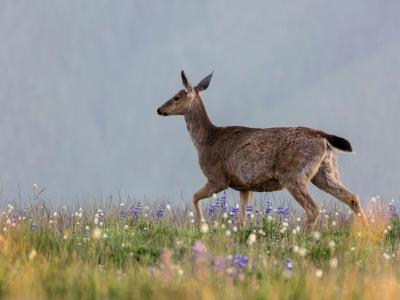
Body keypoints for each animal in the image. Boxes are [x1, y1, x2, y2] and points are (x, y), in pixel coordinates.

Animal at [155, 70, 366, 232]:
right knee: (352, 197)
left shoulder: (218, 177)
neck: (206, 140)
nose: (158, 109)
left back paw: (304, 237)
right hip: (325, 170)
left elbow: (195, 197)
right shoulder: (244, 186)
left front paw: (203, 225)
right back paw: (365, 230)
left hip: (293, 174)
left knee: (314, 207)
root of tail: (323, 136)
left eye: (176, 97)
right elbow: (242, 217)